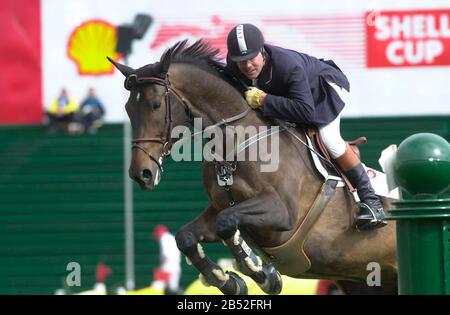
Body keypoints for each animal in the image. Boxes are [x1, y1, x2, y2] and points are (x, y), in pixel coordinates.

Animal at [108, 40, 398, 296]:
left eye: (156, 105)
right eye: (128, 108)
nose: (141, 174)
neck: (233, 145)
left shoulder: (283, 213)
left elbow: (227, 224)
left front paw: (261, 273)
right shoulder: (219, 208)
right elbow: (186, 236)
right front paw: (227, 281)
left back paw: (371, 210)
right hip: (365, 282)